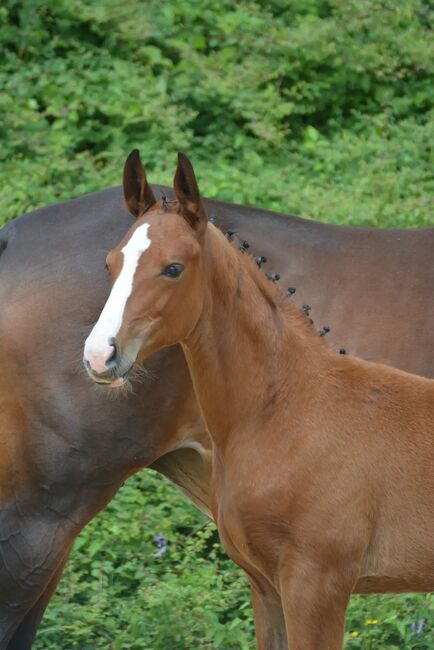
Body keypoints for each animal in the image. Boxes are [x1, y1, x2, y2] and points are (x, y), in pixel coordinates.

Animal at [0, 165, 434, 644]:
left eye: (173, 268)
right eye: (110, 263)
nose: (99, 355)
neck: (293, 405)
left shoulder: (316, 584)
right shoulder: (271, 585)